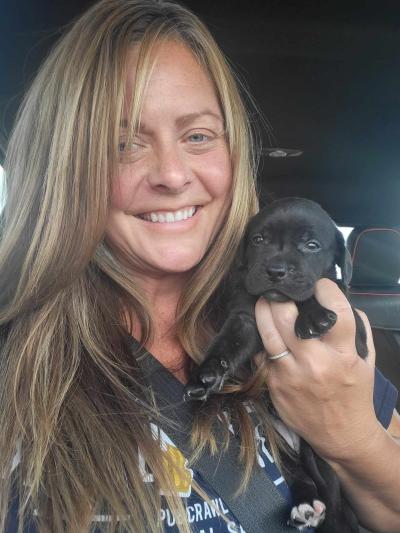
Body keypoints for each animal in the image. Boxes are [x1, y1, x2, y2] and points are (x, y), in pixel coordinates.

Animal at [184, 197, 368, 528]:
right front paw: (206, 374)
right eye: (259, 240)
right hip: (279, 448)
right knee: (298, 478)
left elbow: (311, 290)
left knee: (334, 500)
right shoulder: (244, 318)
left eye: (311, 245)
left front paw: (313, 315)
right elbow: (228, 343)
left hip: (322, 457)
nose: (276, 270)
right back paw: (304, 505)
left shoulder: (353, 326)